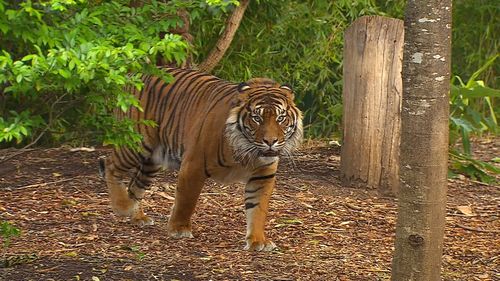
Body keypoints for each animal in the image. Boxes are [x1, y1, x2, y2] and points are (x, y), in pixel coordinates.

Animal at [97, 66, 300, 250]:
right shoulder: (194, 165)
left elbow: (258, 208)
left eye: (281, 118)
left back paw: (137, 216)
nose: (271, 142)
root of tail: (133, 74)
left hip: (152, 161)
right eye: (257, 118)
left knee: (134, 185)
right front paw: (179, 229)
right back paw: (123, 206)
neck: (248, 150)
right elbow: (186, 200)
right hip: (137, 143)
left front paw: (258, 241)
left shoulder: (263, 175)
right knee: (110, 164)